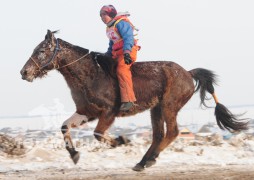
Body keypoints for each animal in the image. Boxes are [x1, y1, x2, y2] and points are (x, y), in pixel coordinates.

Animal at [20, 30, 248, 171]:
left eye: (41, 50)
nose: (24, 72)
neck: (91, 74)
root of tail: (188, 73)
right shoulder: (87, 112)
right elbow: (65, 126)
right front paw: (74, 154)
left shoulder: (108, 112)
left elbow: (98, 134)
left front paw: (122, 140)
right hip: (156, 109)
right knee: (158, 134)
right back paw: (143, 161)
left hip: (169, 105)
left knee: (172, 132)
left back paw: (149, 159)